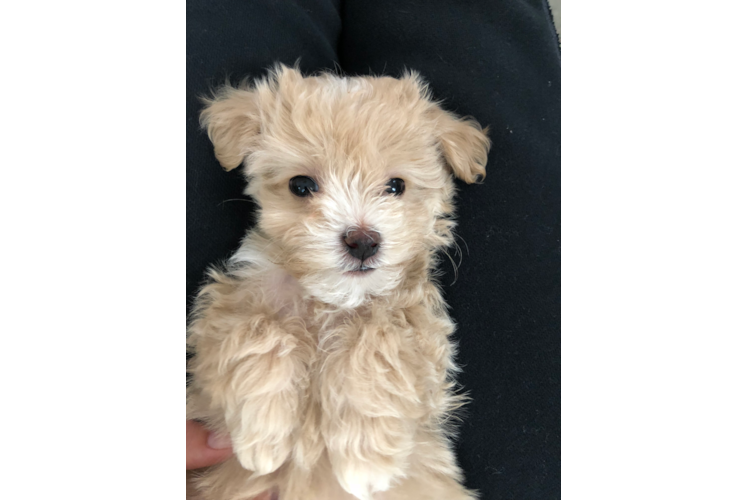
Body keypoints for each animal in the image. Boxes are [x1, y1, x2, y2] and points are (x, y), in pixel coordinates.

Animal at [187, 65, 490, 500]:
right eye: (300, 185)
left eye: (396, 186)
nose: (362, 241)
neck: (332, 301)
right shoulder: (222, 311)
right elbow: (256, 328)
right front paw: (264, 437)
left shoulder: (420, 332)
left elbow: (379, 343)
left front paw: (367, 462)